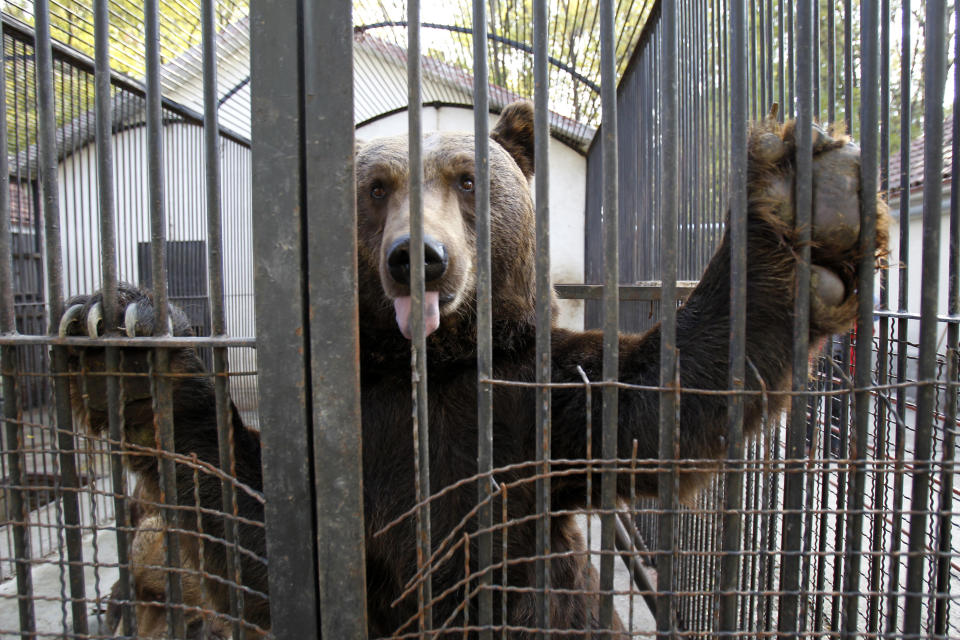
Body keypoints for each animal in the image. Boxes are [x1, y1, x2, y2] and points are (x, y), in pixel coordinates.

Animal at [60, 99, 884, 636]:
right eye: (378, 187)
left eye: (465, 179)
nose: (417, 258)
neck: (430, 363)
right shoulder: (352, 442)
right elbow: (253, 529)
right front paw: (122, 333)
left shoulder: (536, 408)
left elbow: (666, 394)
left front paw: (809, 197)